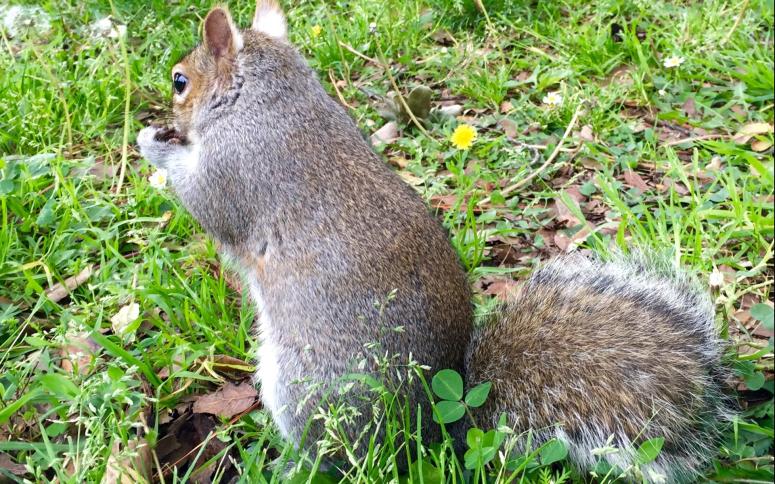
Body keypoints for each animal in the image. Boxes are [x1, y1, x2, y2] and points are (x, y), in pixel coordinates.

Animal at [138, 2, 732, 480]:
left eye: (179, 81)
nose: (164, 112)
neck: (265, 98)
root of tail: (430, 427)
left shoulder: (236, 169)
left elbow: (206, 202)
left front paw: (153, 144)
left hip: (306, 389)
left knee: (333, 458)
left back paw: (291, 466)